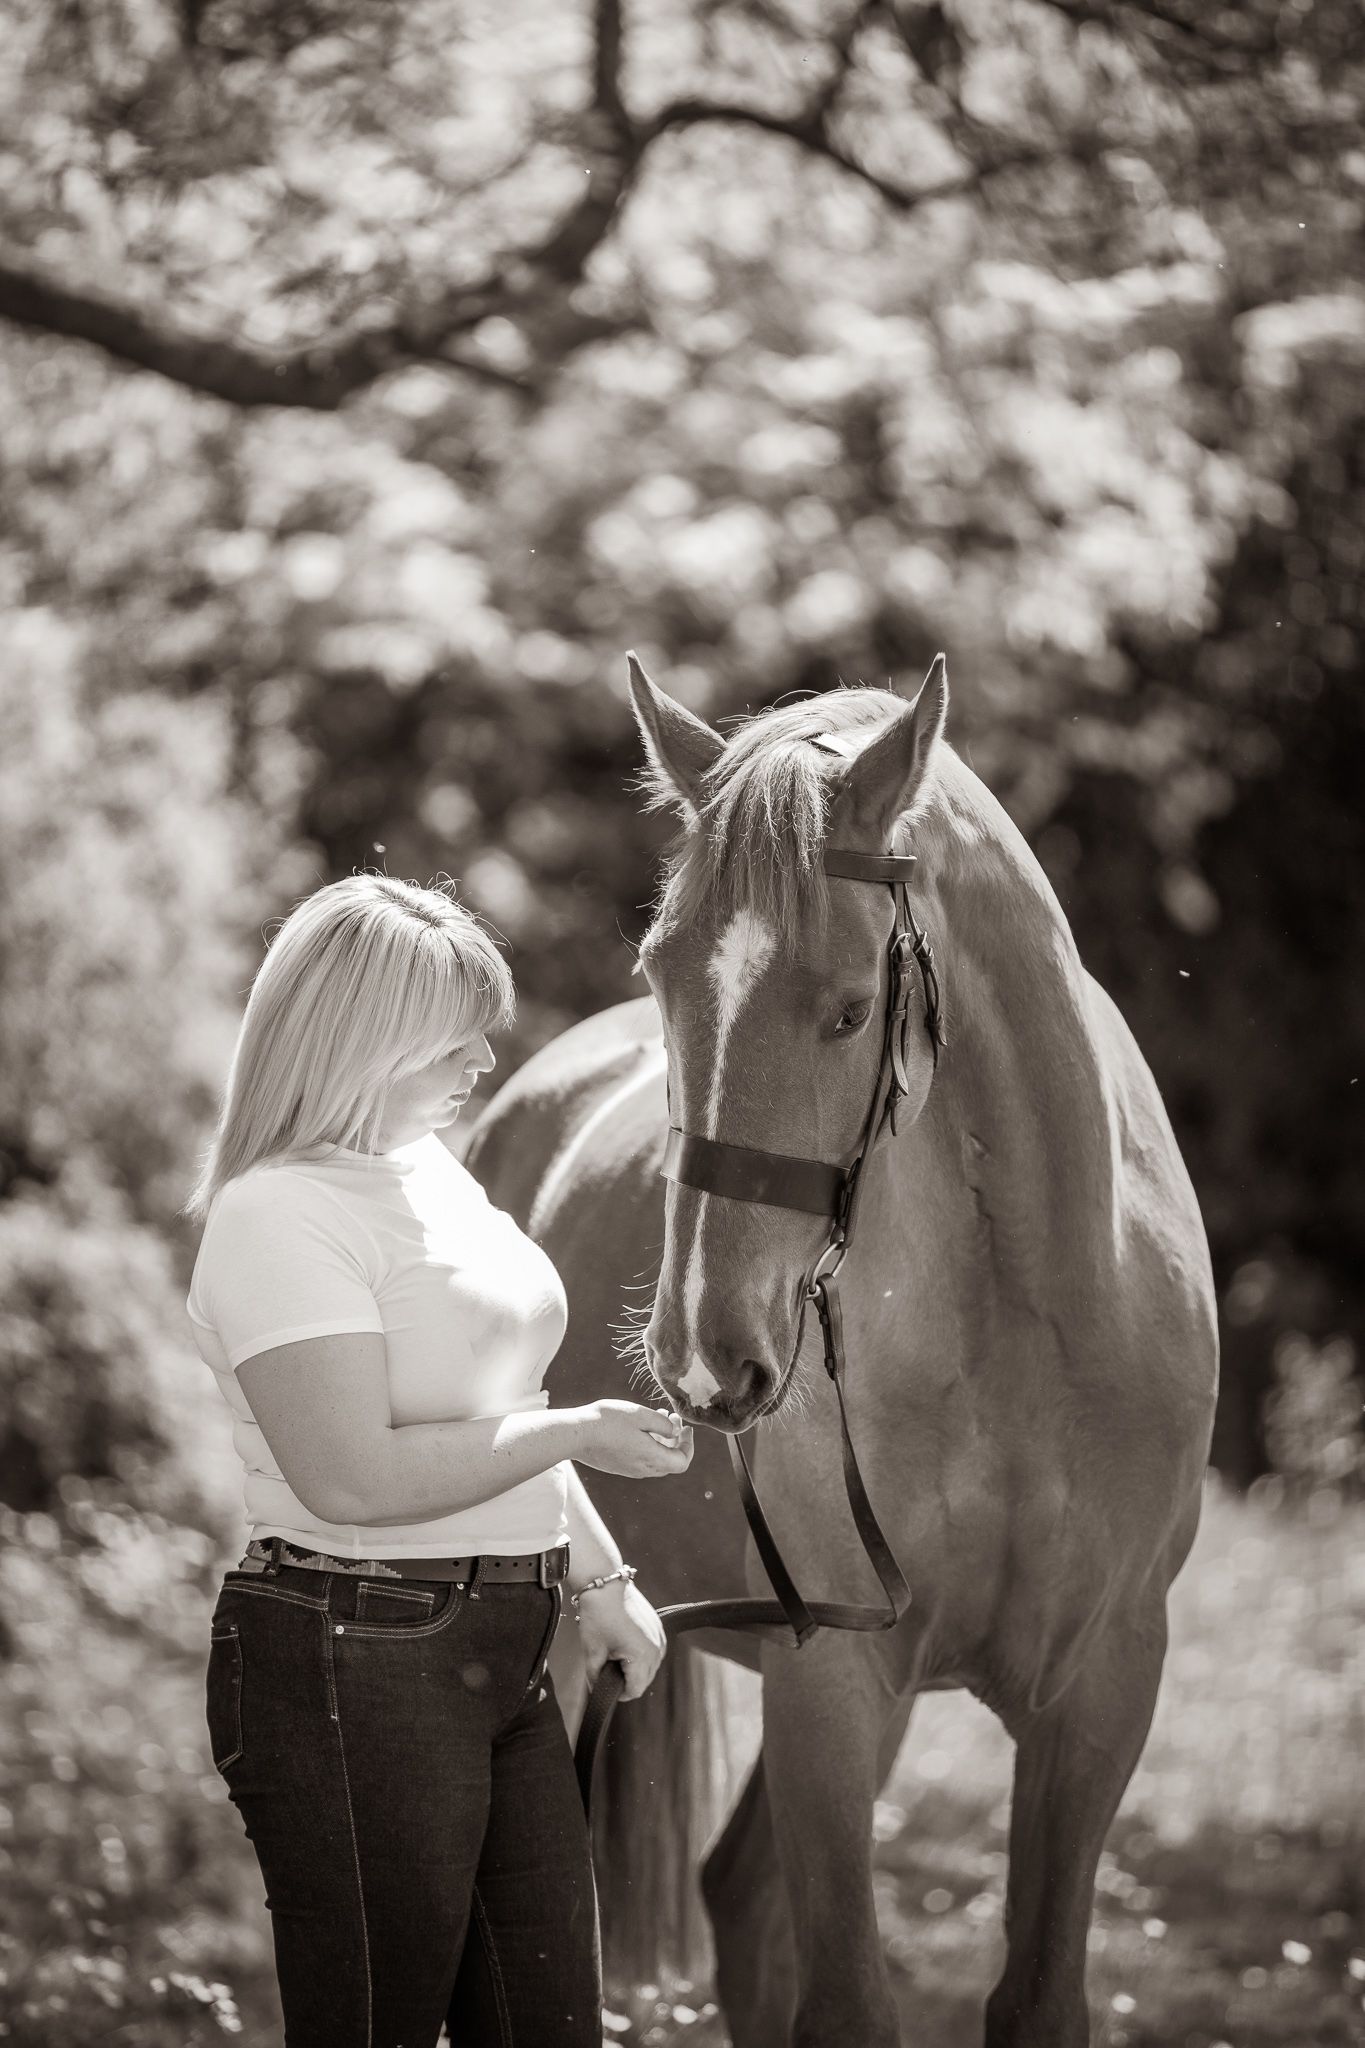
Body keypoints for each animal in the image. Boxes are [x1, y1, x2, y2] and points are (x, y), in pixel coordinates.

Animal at [459, 653, 1219, 2047]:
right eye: (662, 972)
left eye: (854, 1006)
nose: (707, 1358)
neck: (1027, 1320)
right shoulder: (831, 1683)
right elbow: (850, 1999)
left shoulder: (1102, 1690)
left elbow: (1038, 1993)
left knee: (743, 1898)